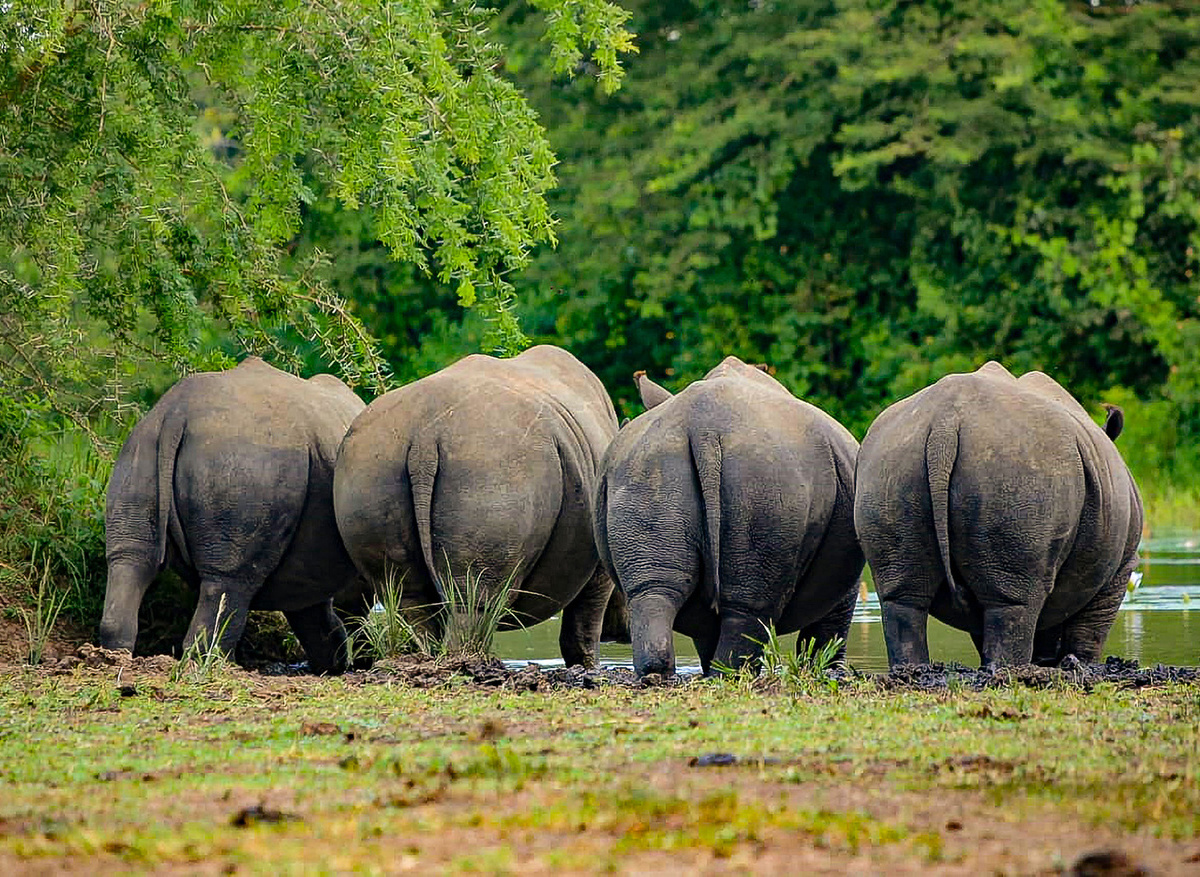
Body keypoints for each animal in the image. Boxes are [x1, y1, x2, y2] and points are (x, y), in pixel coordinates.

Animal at [100, 357, 366, 673]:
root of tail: (176, 413)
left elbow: (316, 614)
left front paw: (334, 663)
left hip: (142, 445)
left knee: (131, 558)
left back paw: (113, 657)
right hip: (247, 460)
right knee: (231, 577)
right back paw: (217, 665)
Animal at [332, 345, 621, 667]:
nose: (620, 636)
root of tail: (424, 438)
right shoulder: (599, 563)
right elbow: (585, 621)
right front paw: (588, 667)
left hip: (370, 461)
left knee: (408, 594)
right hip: (495, 465)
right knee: (474, 599)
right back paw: (469, 661)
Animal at [593, 357, 865, 677]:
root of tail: (703, 429)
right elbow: (832, 621)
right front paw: (827, 669)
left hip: (648, 468)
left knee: (654, 588)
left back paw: (659, 673)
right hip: (765, 479)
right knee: (752, 608)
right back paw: (730, 675)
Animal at [853, 361, 1143, 668]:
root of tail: (944, 423)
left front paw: (1049, 661)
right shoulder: (1121, 567)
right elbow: (1090, 629)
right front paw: (1080, 664)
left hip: (890, 464)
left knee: (903, 598)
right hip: (1019, 470)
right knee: (1014, 603)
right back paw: (1010, 669)